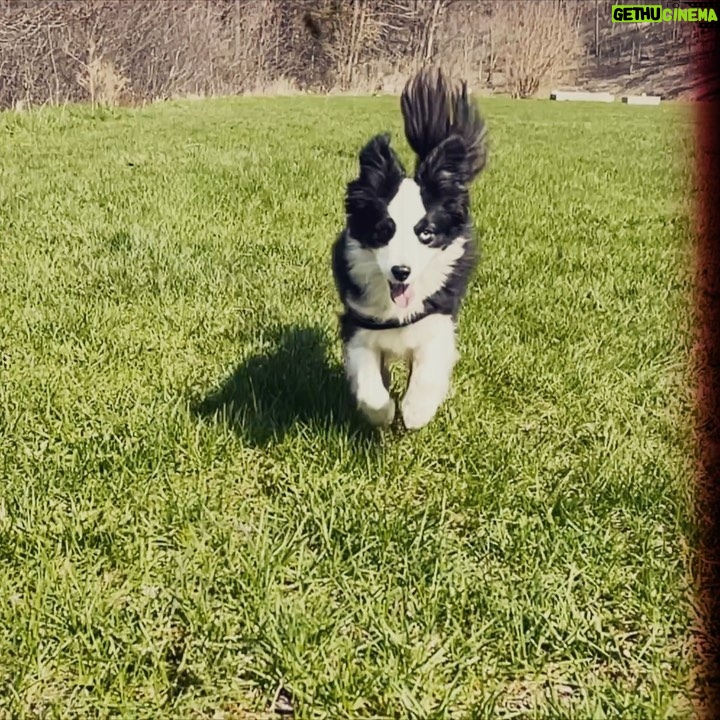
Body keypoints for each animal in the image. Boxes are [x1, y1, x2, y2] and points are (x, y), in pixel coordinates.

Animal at [332, 67, 490, 428]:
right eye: (383, 231)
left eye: (426, 233)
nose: (401, 271)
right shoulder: (358, 322)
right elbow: (369, 383)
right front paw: (383, 412)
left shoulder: (439, 318)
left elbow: (429, 370)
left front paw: (416, 411)